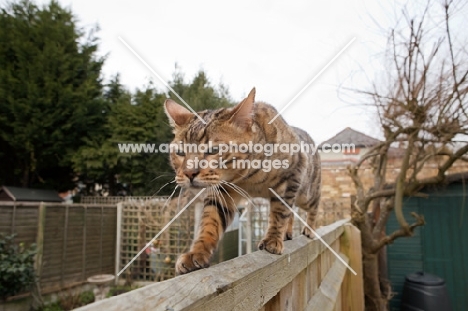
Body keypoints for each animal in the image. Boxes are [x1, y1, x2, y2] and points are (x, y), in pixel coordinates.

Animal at [163, 88, 320, 276]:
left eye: (213, 150)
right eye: (180, 152)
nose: (189, 173)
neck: (248, 177)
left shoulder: (290, 177)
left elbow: (279, 212)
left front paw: (273, 239)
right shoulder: (224, 190)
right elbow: (210, 221)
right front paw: (197, 252)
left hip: (307, 193)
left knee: (313, 205)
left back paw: (309, 229)